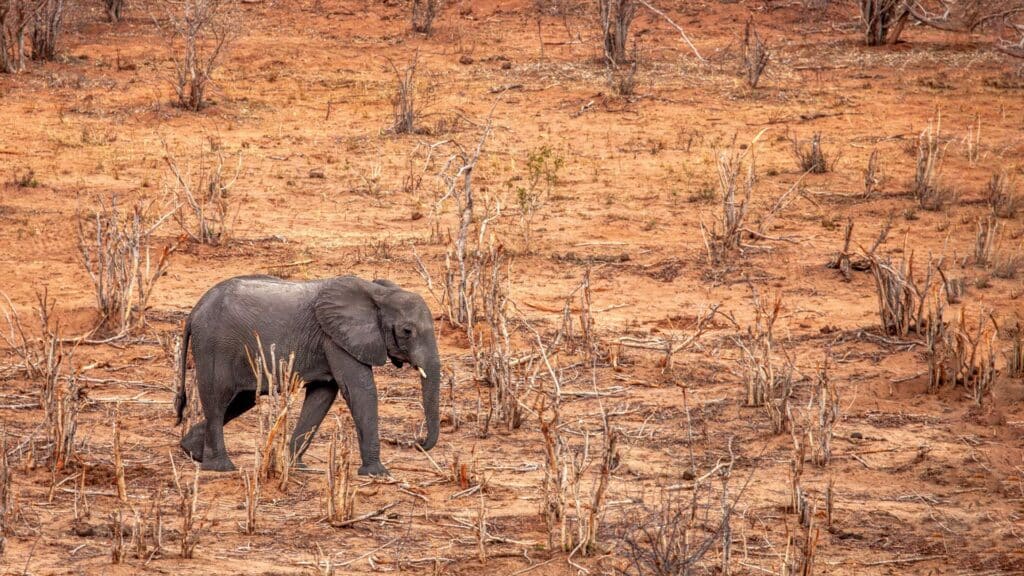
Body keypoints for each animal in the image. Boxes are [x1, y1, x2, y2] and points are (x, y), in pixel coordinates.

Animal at [176, 272, 440, 471]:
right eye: (407, 331)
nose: (417, 442)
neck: (377, 293)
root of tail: (195, 310)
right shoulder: (335, 337)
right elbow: (359, 390)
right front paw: (377, 473)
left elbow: (323, 396)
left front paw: (295, 466)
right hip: (214, 346)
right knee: (218, 399)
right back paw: (220, 467)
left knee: (239, 400)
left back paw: (191, 451)